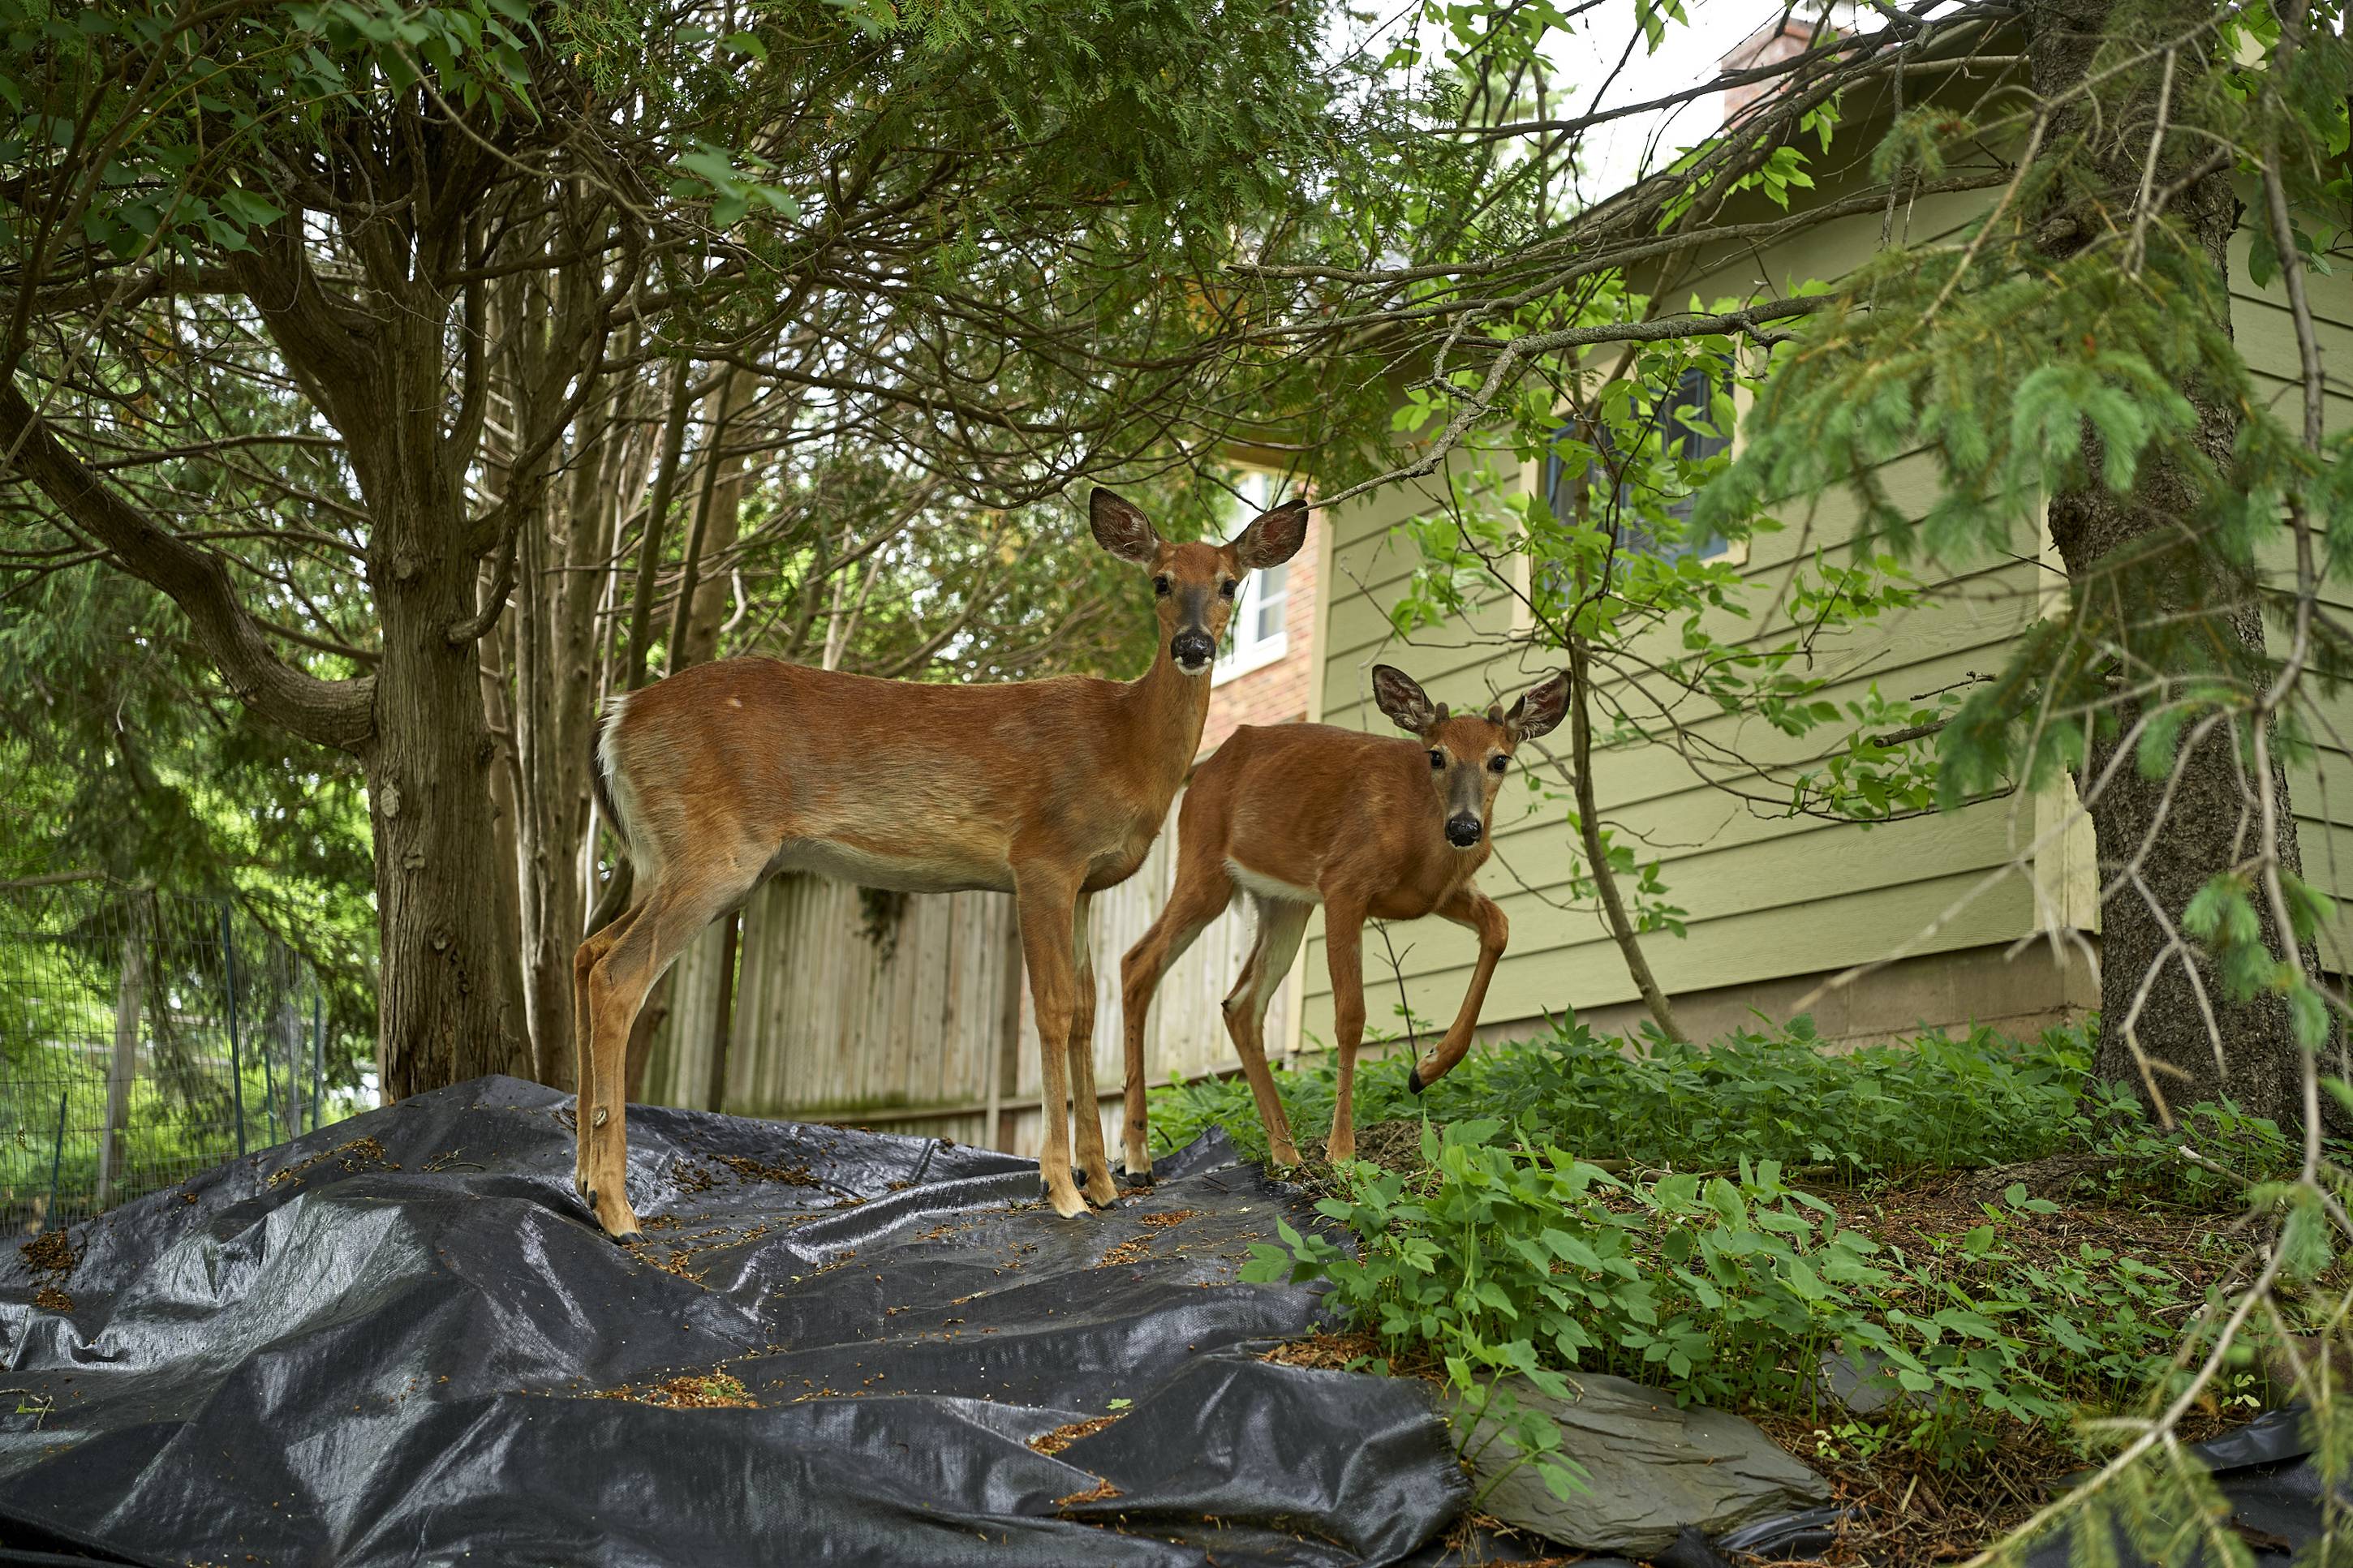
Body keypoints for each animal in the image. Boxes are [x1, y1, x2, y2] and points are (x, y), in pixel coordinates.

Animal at [574, 486, 1309, 1239]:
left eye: (1230, 583)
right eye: (1160, 580)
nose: (1193, 646)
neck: (1124, 738)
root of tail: (616, 716)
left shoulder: (1086, 883)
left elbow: (1085, 1012)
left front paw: (1103, 1184)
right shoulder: (1042, 858)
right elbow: (1052, 1009)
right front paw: (1061, 1186)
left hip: (665, 855)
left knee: (587, 949)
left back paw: (583, 1182)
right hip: (712, 851)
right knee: (617, 974)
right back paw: (618, 1209)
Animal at [1117, 664, 1570, 1174]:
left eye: (1500, 761)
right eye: (1436, 756)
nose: (1465, 827)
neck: (1422, 837)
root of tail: (1199, 775)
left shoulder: (1439, 895)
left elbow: (1500, 927)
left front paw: (1425, 1069)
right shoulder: (1343, 885)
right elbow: (1350, 1016)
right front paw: (1342, 1151)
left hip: (1285, 902)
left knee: (1240, 1004)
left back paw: (1286, 1153)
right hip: (1204, 868)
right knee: (1138, 962)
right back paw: (1137, 1152)